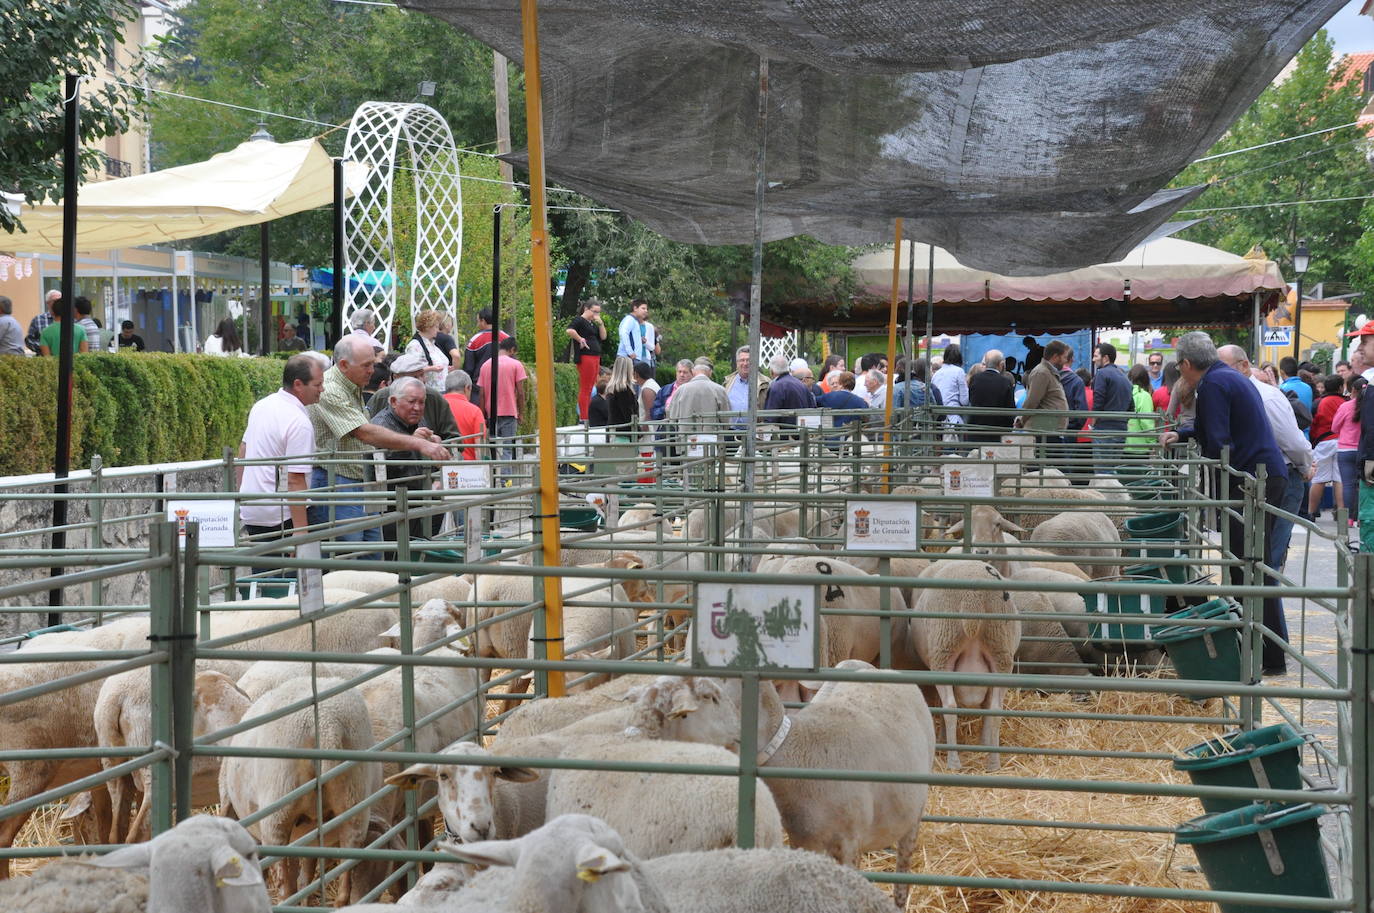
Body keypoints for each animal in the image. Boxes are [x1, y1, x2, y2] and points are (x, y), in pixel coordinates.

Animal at [906, 561, 1027, 764]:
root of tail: (973, 599)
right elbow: (987, 705)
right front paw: (984, 742)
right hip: (1000, 650)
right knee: (995, 709)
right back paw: (993, 762)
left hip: (943, 651)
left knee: (950, 706)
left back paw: (953, 761)